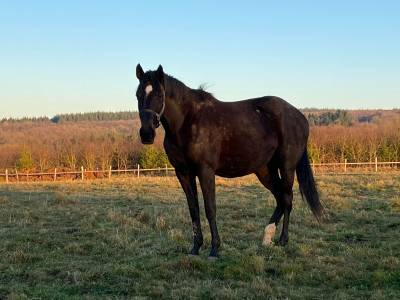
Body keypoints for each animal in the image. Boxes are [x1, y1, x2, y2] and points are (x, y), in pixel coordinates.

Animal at [136, 63, 324, 258]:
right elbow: (193, 210)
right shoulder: (183, 172)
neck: (187, 121)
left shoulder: (205, 170)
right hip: (265, 170)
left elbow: (210, 208)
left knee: (287, 198)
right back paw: (267, 238)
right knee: (281, 198)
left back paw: (282, 240)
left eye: (159, 95)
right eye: (138, 94)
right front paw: (195, 247)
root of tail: (300, 117)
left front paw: (214, 249)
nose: (146, 134)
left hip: (287, 167)